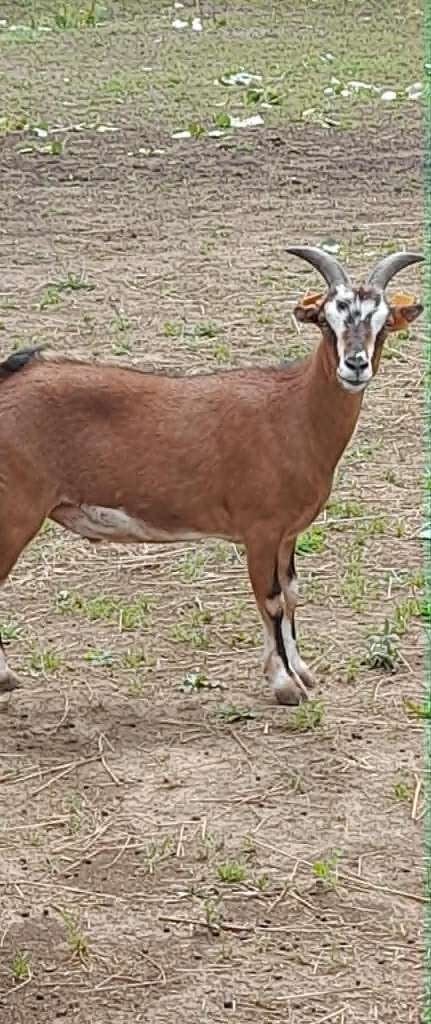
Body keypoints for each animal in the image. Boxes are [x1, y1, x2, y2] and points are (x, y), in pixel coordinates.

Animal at [0, 247, 423, 706]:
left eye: (383, 325)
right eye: (327, 321)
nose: (355, 365)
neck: (293, 411)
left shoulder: (287, 532)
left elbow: (291, 593)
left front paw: (302, 673)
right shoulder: (260, 529)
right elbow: (271, 600)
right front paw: (284, 684)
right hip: (15, 510)